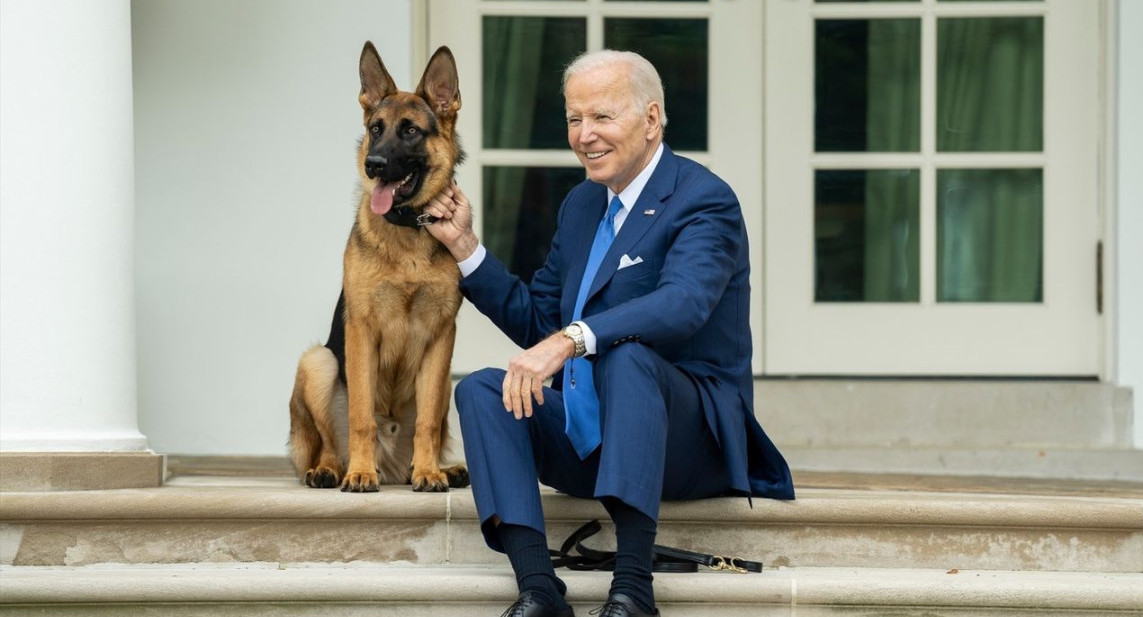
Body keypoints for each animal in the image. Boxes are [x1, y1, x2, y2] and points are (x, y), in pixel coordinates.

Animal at [290, 43, 468, 491]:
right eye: (375, 128)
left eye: (410, 131)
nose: (373, 164)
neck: (407, 229)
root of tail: (392, 467)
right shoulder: (361, 331)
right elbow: (361, 416)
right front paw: (359, 473)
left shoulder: (442, 336)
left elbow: (427, 423)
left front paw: (429, 472)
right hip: (318, 362)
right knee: (330, 443)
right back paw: (332, 470)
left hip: (447, 381)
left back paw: (438, 468)